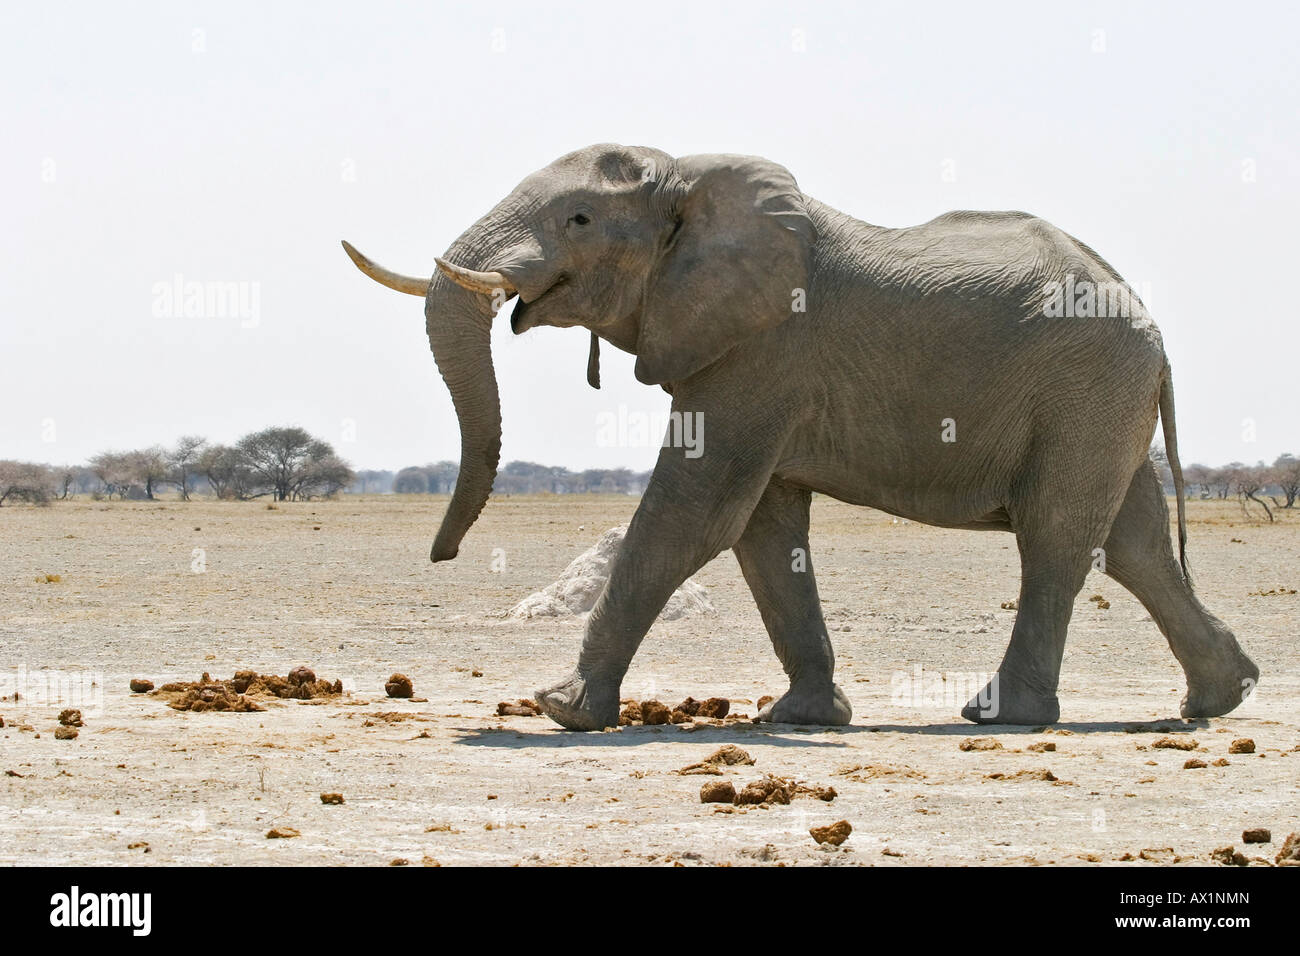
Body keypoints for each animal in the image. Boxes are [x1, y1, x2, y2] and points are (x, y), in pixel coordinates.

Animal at [343, 141, 1258, 728]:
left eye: (577, 220)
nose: (443, 555)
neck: (688, 180)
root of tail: (1152, 328)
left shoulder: (761, 348)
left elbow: (695, 513)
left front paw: (561, 711)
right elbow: (763, 527)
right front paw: (802, 718)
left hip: (1084, 389)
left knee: (1059, 538)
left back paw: (1003, 718)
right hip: (1103, 398)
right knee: (1132, 542)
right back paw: (1220, 697)